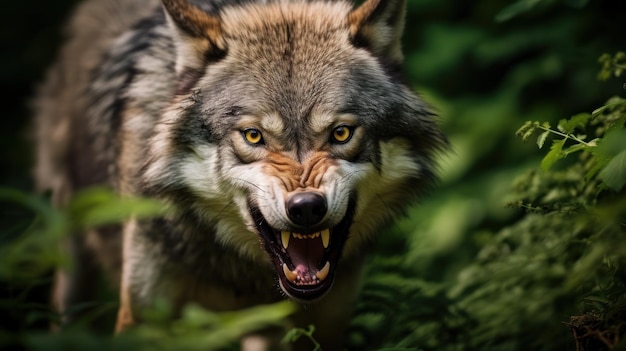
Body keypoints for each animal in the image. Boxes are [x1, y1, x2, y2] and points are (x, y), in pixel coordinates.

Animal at [34, 0, 446, 350]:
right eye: (253, 136)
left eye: (341, 133)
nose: (306, 207)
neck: (241, 275)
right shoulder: (141, 317)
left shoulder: (322, 328)